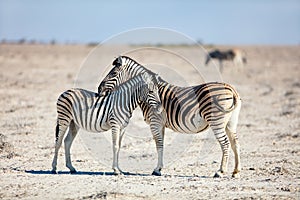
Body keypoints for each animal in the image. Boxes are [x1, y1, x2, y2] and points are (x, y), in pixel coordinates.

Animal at [97, 55, 243, 178]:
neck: (148, 93)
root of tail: (231, 89)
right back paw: (236, 172)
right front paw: (159, 168)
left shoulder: (155, 122)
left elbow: (158, 144)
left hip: (217, 121)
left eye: (113, 73)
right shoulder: (160, 124)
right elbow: (161, 144)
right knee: (235, 143)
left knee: (225, 143)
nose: (99, 90)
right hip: (230, 123)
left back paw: (220, 171)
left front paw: (157, 170)